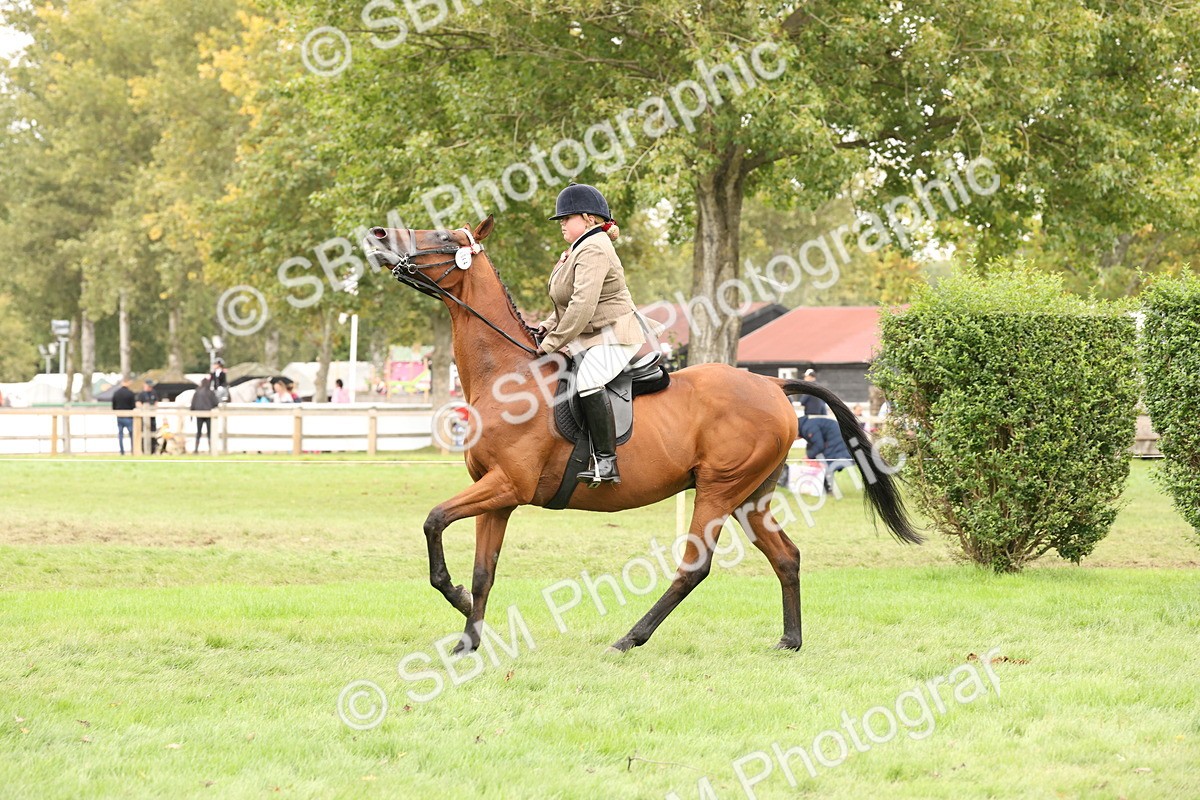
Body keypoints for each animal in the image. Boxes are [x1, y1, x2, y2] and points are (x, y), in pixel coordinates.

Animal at [365, 216, 922, 654]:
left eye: (441, 235)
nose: (377, 235)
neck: (509, 376)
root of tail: (771, 384)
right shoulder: (496, 495)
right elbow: (484, 570)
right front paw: (468, 639)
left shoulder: (507, 486)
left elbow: (433, 521)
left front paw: (456, 599)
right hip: (751, 495)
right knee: (786, 556)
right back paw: (789, 640)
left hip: (718, 489)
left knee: (694, 566)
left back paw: (630, 638)